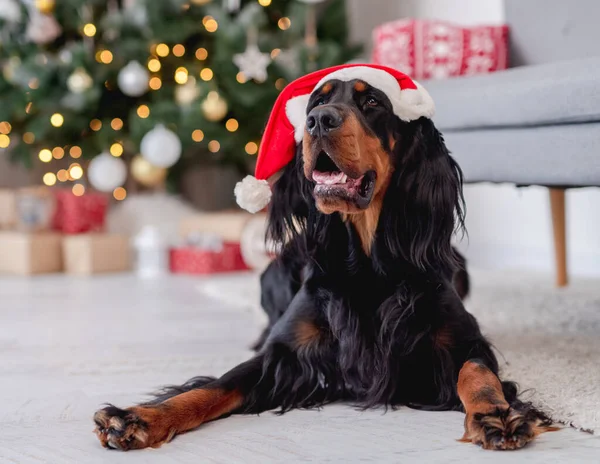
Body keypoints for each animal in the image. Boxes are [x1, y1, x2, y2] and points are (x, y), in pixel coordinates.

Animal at [91, 64, 556, 450]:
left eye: (373, 102)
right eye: (317, 101)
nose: (318, 120)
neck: (368, 263)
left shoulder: (461, 339)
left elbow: (476, 372)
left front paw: (496, 414)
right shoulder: (285, 353)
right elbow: (216, 385)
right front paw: (139, 417)